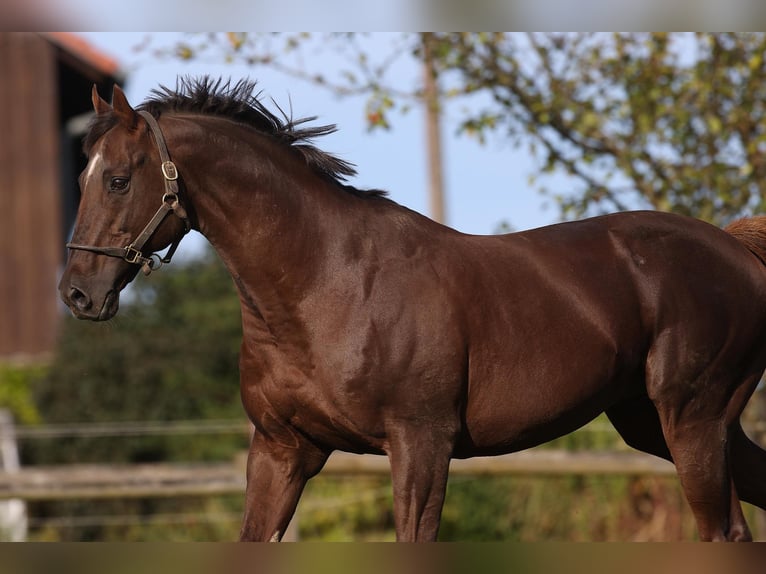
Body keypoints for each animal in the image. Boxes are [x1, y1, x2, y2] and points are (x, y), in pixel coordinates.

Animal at [59, 77, 766, 542]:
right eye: (83, 177)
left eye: (118, 179)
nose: (77, 293)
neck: (326, 284)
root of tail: (736, 250)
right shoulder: (282, 449)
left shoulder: (422, 444)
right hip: (661, 424)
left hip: (691, 420)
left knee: (723, 532)